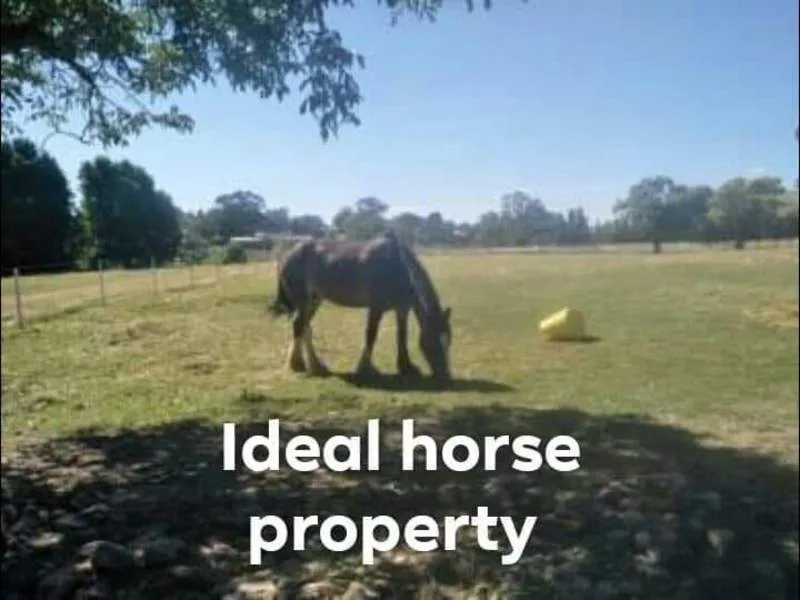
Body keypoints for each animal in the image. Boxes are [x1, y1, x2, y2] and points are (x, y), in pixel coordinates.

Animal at [267, 230, 453, 385]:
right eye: (432, 342)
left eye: (448, 341)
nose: (444, 376)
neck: (398, 266)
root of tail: (288, 254)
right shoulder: (376, 307)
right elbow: (371, 334)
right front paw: (365, 369)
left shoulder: (402, 309)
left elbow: (402, 336)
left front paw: (406, 367)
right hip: (304, 301)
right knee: (300, 325)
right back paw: (303, 366)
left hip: (315, 299)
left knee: (303, 326)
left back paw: (313, 366)